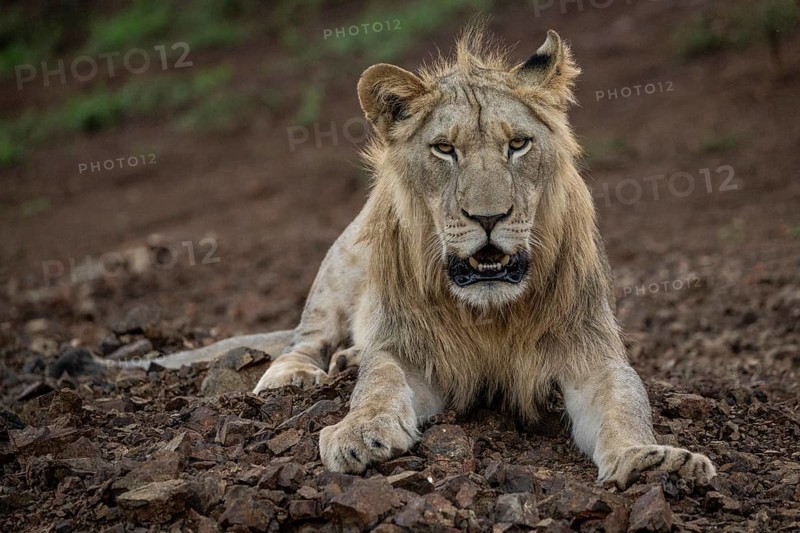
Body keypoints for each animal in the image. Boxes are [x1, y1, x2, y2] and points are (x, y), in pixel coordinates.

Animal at [152, 25, 716, 489]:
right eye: (445, 149)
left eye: (518, 144)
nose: (488, 217)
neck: (490, 314)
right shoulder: (411, 350)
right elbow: (377, 384)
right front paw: (358, 433)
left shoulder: (589, 352)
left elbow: (625, 403)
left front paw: (651, 459)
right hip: (343, 262)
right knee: (306, 337)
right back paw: (295, 373)